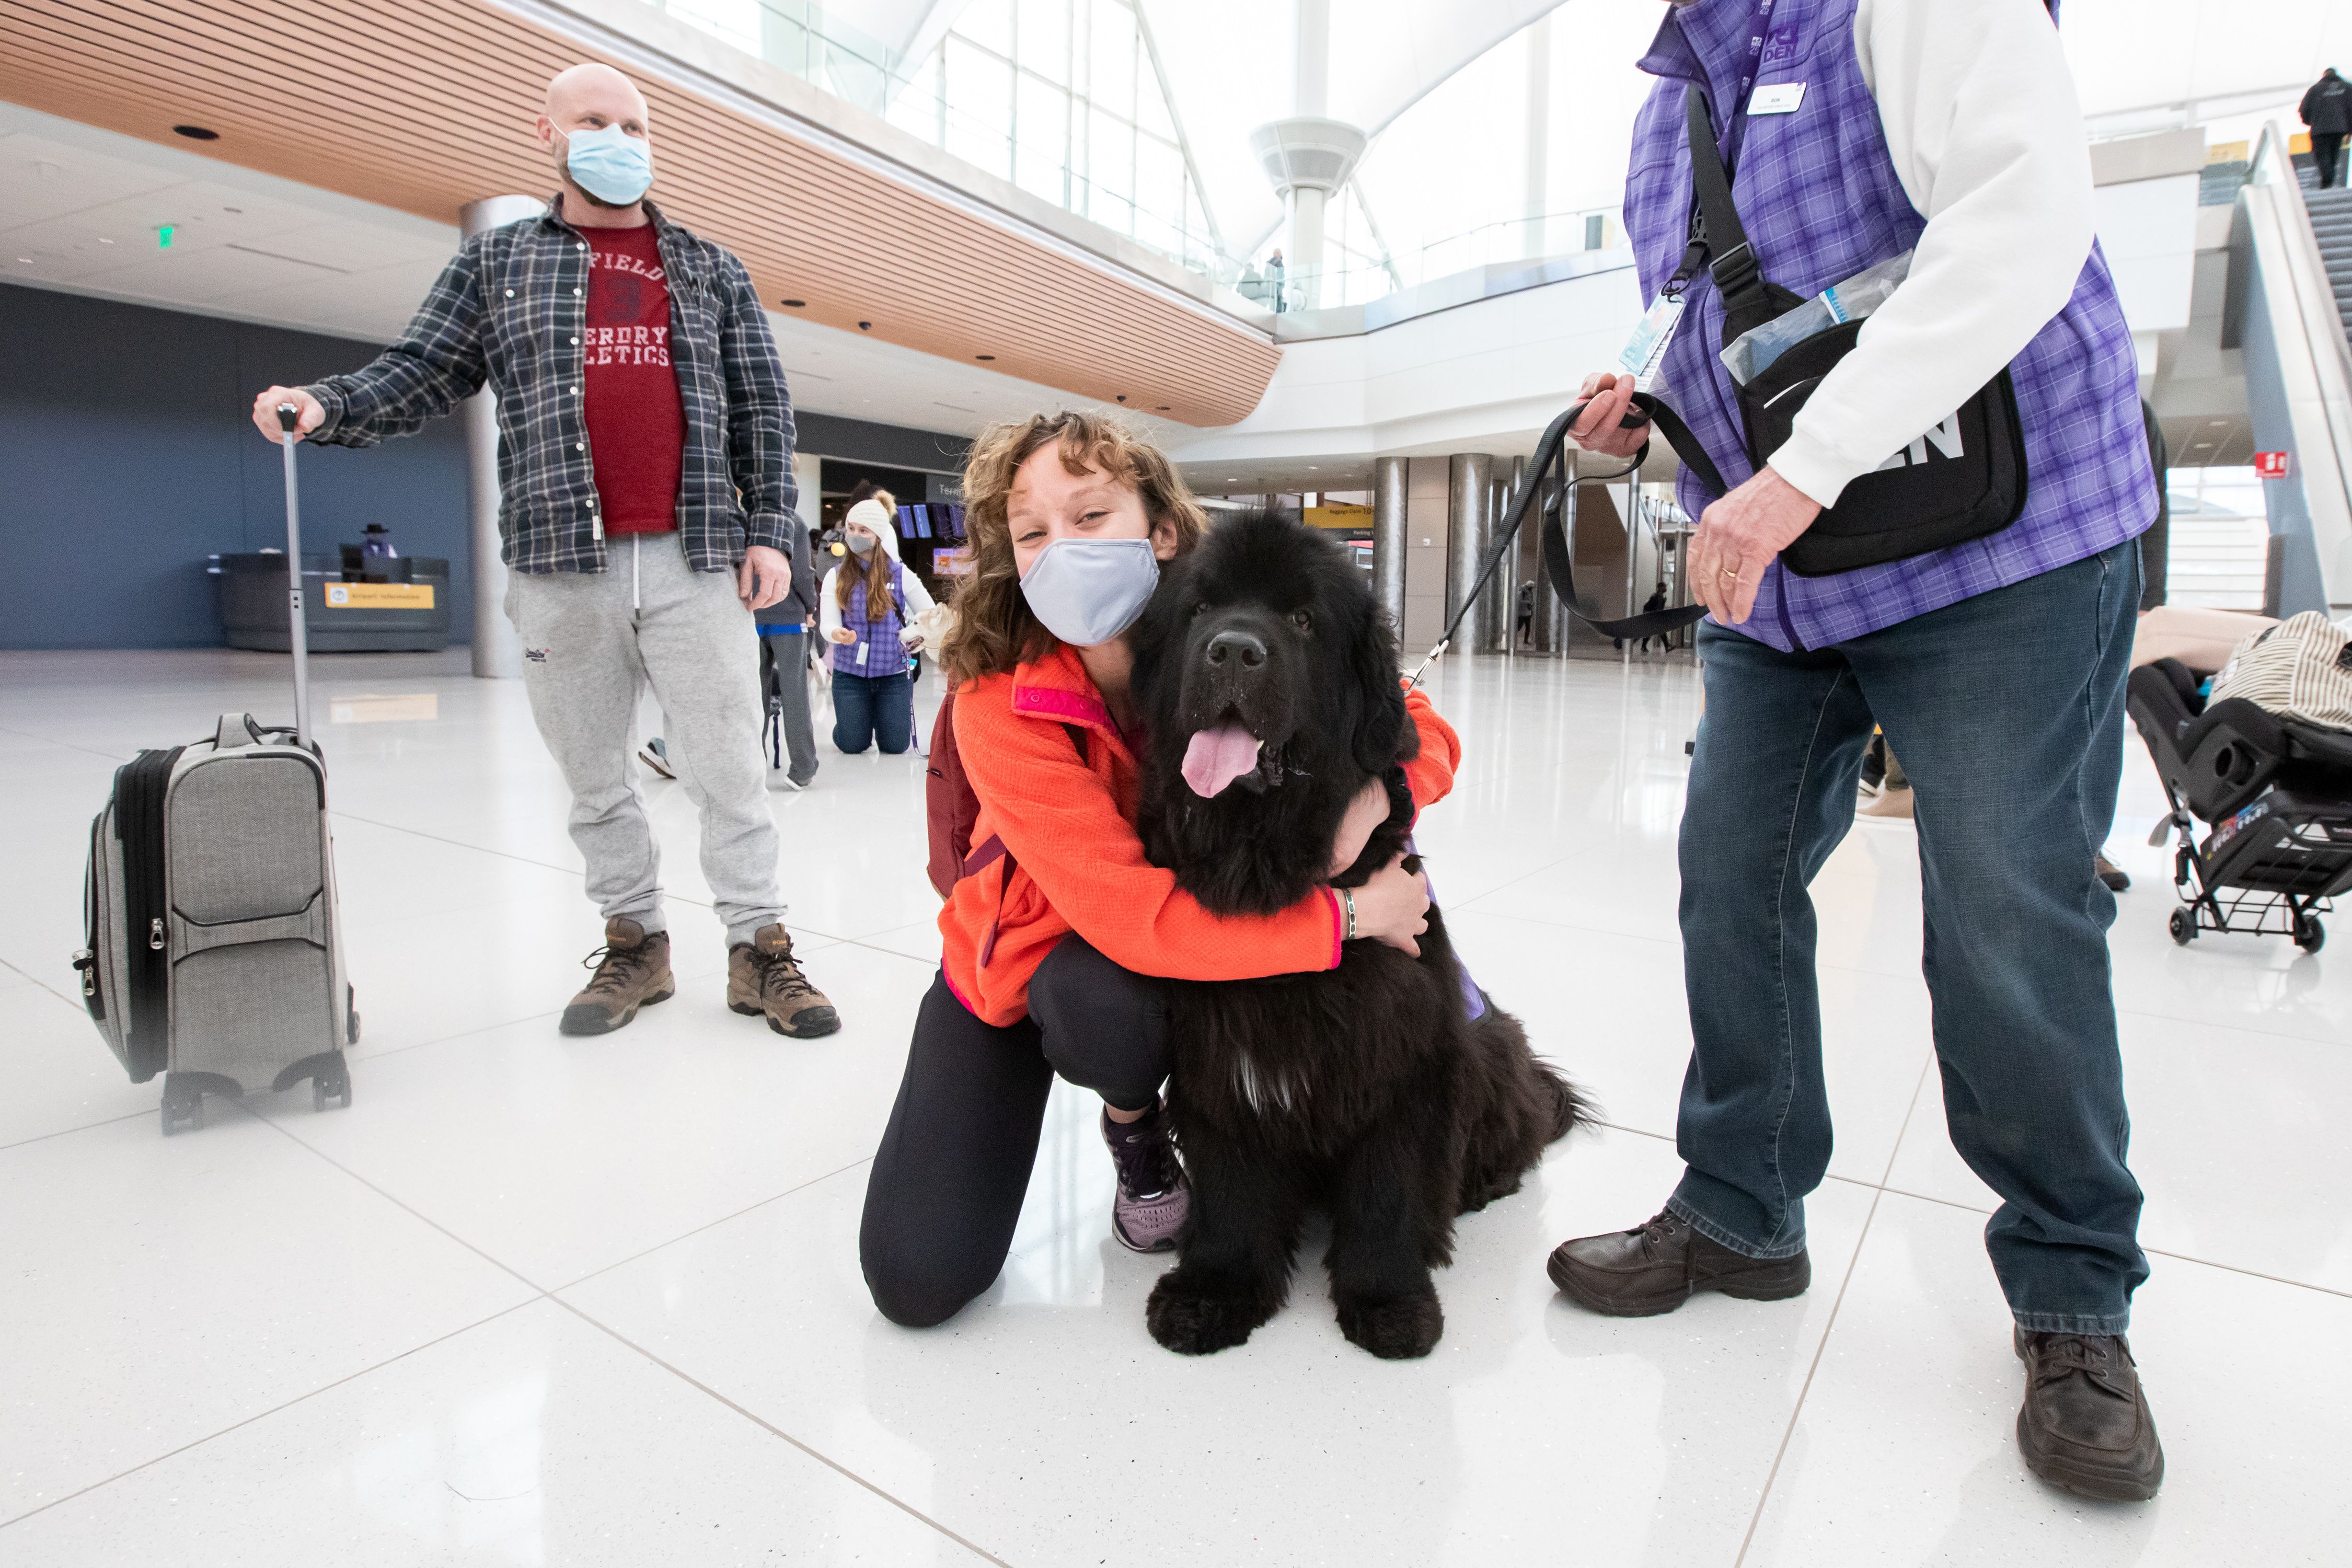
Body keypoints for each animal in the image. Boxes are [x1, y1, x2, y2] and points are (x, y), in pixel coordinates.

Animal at [1129, 510, 1590, 1354]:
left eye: (1304, 621)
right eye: (1201, 609)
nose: (1234, 650)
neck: (1266, 854)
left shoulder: (1407, 1061)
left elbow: (1389, 1190)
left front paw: (1389, 1302)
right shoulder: (1218, 1058)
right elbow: (1231, 1189)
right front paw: (1215, 1291)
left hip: (1492, 1046)